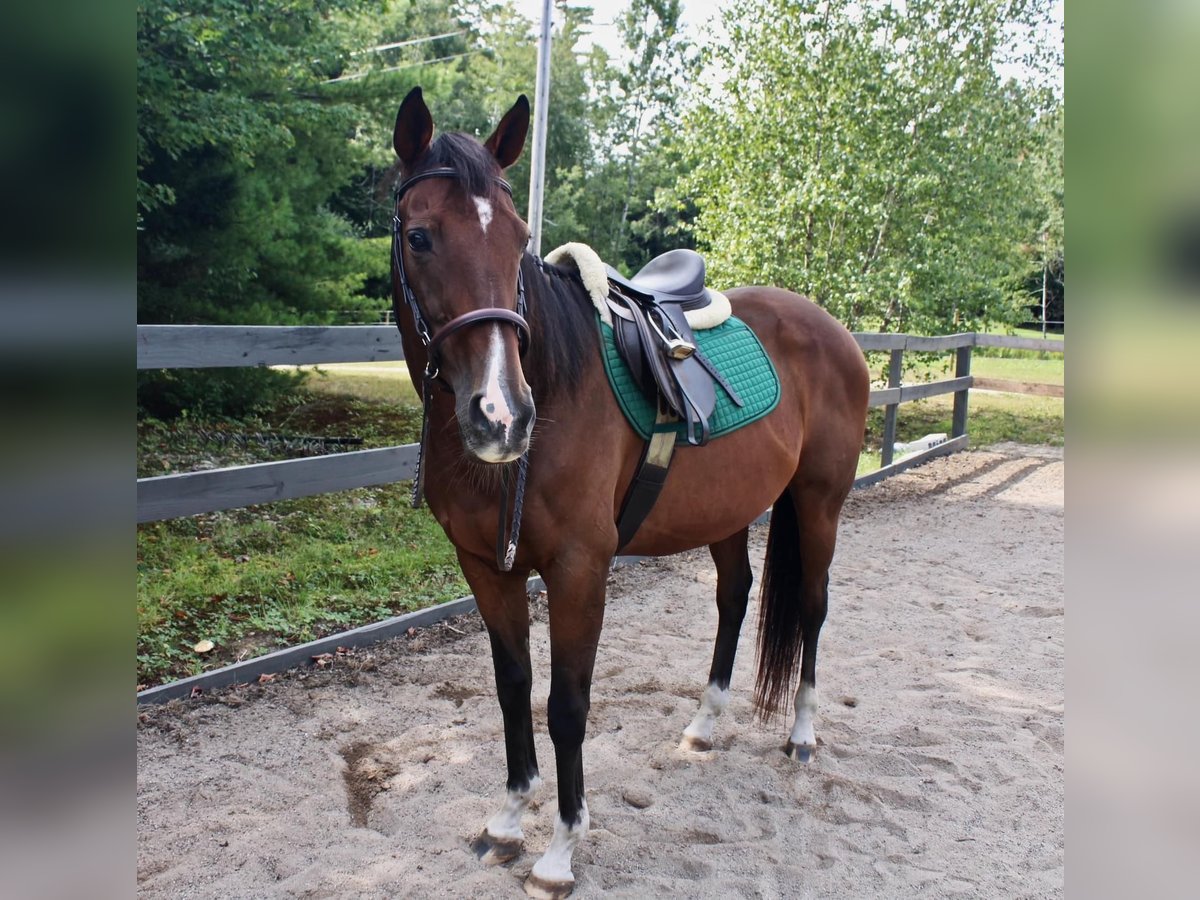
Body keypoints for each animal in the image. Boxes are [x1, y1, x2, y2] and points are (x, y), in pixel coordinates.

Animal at [388, 86, 868, 900]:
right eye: (419, 237)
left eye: (518, 238)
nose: (502, 415)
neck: (556, 382)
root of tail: (829, 326)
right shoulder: (486, 567)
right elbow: (513, 688)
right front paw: (507, 821)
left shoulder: (580, 569)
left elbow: (568, 705)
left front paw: (559, 852)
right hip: (728, 511)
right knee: (735, 596)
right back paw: (704, 724)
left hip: (819, 504)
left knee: (810, 607)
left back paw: (802, 735)